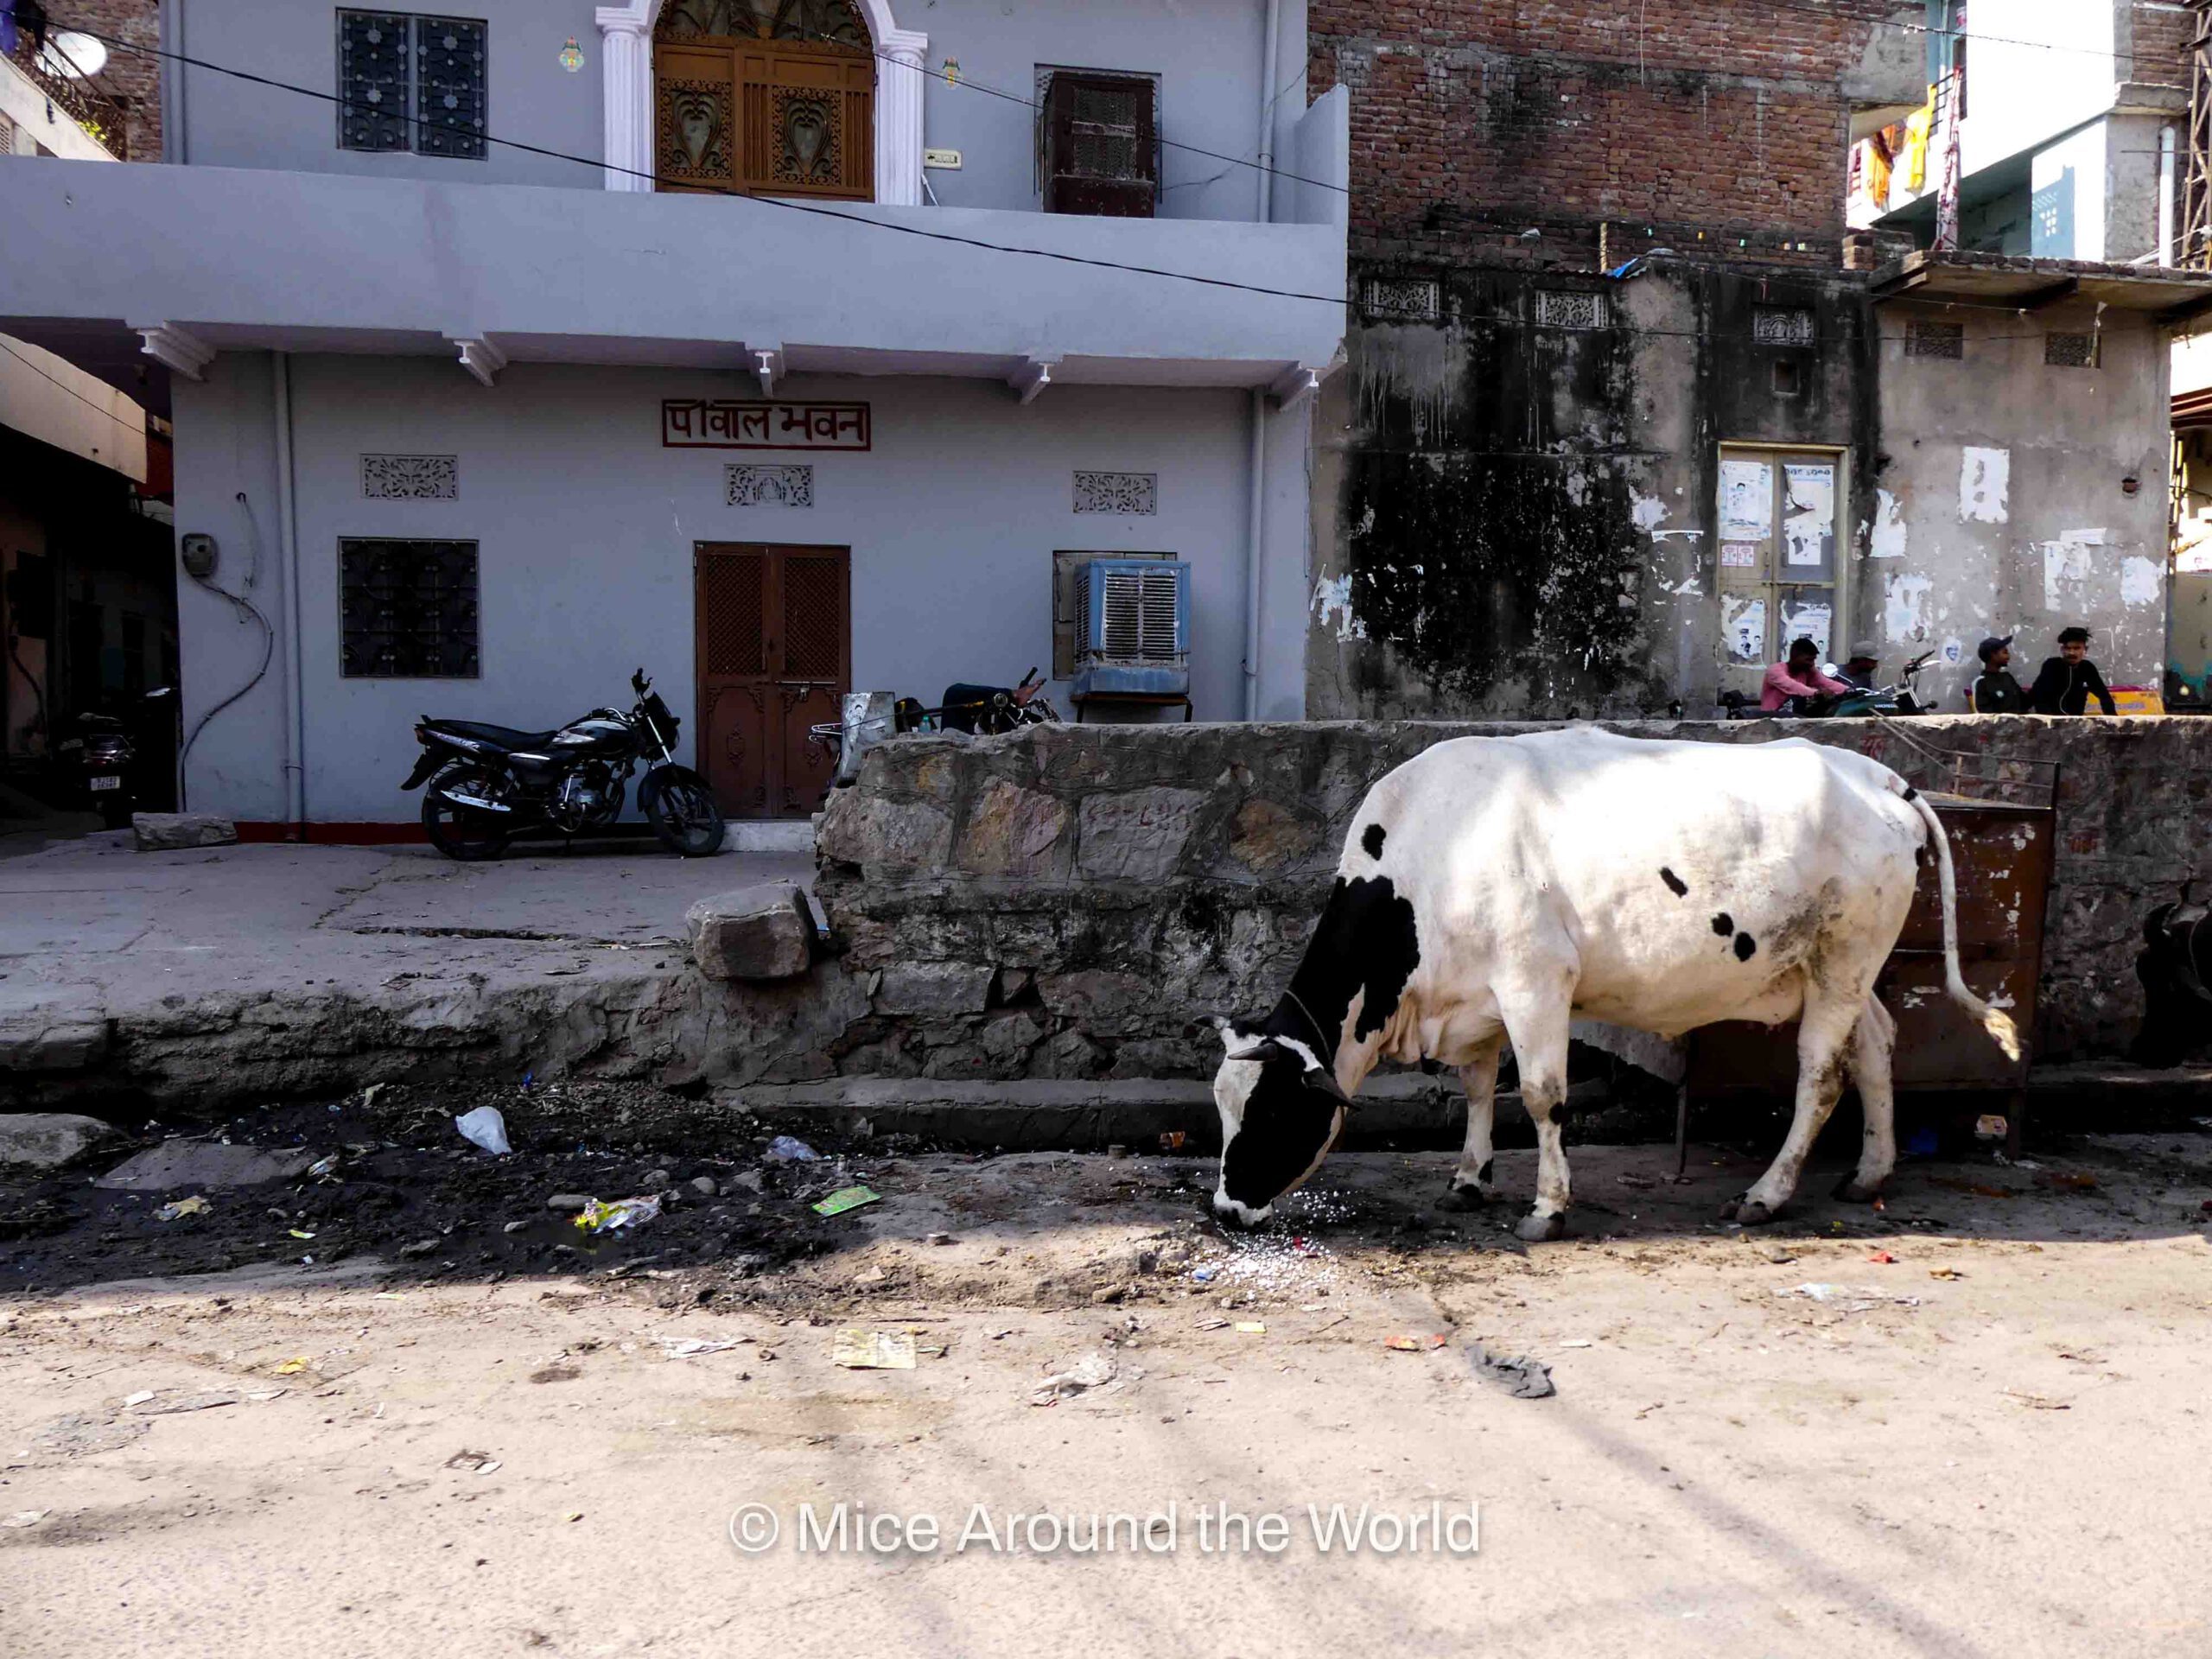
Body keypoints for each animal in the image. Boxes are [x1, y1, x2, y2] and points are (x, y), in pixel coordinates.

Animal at [1206, 730, 2019, 1241]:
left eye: (1270, 1112)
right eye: (1222, 1109)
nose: (1222, 1210)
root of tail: (1876, 775)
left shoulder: (1535, 980)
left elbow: (1542, 1097)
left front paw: (1547, 1210)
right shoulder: (1476, 998)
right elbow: (1477, 1088)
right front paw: (1469, 1179)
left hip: (1846, 957)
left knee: (1820, 1075)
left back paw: (1768, 1193)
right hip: (1837, 969)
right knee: (1876, 1044)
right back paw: (1870, 1171)